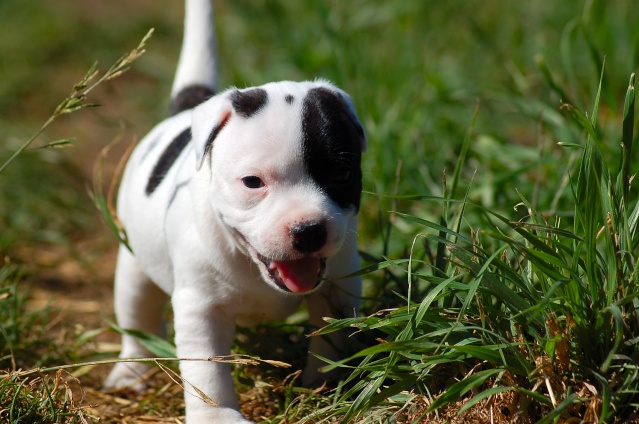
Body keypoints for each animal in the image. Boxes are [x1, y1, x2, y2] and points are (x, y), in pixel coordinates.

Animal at [103, 0, 368, 420]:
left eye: (342, 174)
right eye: (253, 182)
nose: (309, 230)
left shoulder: (339, 285)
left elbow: (331, 334)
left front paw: (327, 382)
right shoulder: (199, 309)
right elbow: (207, 371)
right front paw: (216, 415)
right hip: (133, 266)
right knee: (136, 313)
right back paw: (131, 370)